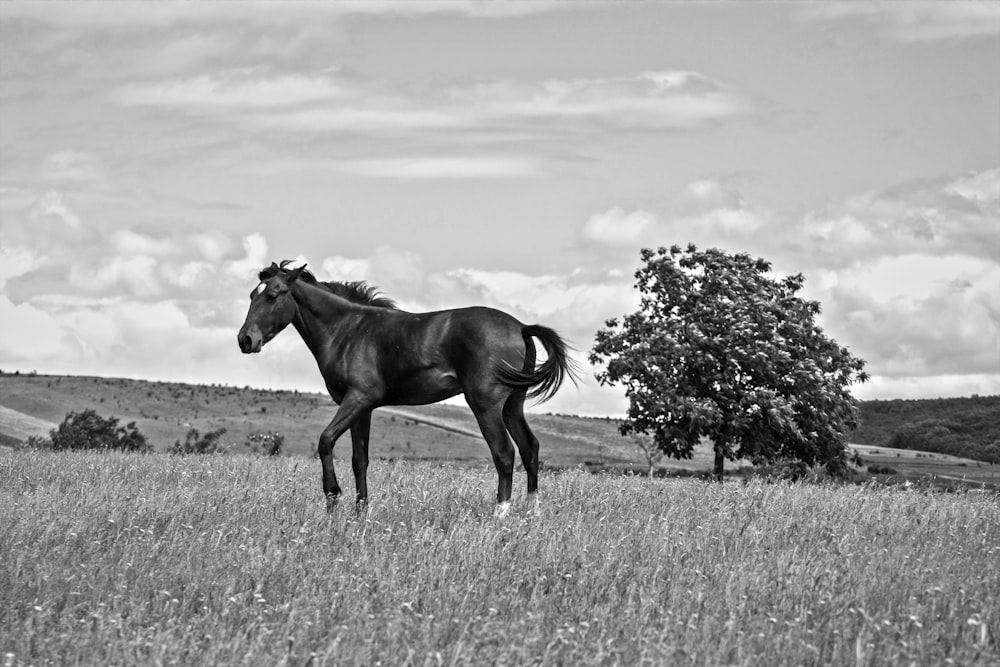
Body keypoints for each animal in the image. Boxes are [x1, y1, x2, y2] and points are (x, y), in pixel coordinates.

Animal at [236, 262, 580, 516]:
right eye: (252, 295)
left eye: (273, 295)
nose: (245, 340)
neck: (347, 330)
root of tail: (521, 327)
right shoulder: (361, 409)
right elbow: (359, 460)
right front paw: (360, 513)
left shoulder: (357, 400)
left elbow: (325, 441)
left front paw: (332, 497)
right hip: (512, 405)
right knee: (530, 448)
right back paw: (532, 513)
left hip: (486, 406)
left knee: (505, 453)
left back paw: (501, 515)